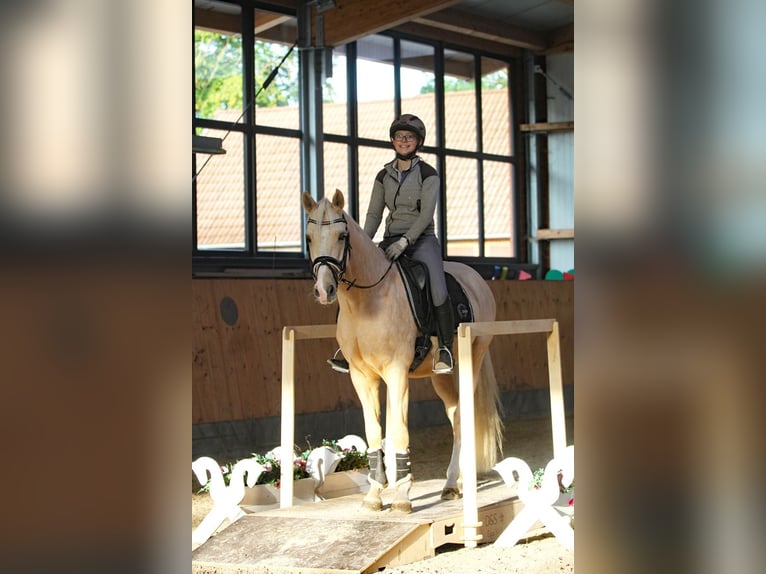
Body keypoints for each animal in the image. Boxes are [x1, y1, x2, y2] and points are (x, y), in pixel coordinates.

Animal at [304, 191, 508, 516]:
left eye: (342, 236)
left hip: (471, 363)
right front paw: (375, 496)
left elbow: (398, 431)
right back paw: (455, 482)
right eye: (309, 238)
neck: (367, 300)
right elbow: (374, 432)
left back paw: (453, 482)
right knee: (454, 414)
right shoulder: (362, 377)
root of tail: (476, 279)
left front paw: (401, 497)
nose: (325, 291)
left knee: (463, 416)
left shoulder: (397, 372)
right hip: (441, 377)